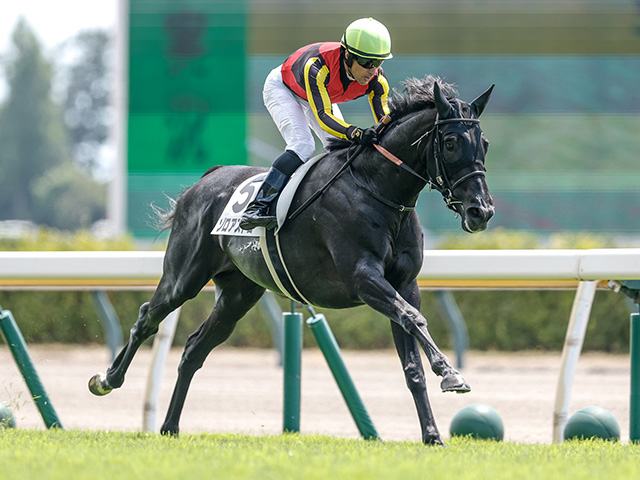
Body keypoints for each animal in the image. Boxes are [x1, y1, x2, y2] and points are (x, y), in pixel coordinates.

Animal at [89, 75, 495, 445]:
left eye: (485, 143)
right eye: (450, 141)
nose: (481, 211)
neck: (378, 189)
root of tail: (206, 179)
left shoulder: (405, 284)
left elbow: (412, 358)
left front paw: (433, 435)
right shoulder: (362, 278)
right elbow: (413, 318)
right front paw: (451, 373)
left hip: (238, 295)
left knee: (193, 350)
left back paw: (170, 426)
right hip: (184, 277)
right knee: (147, 317)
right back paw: (106, 380)